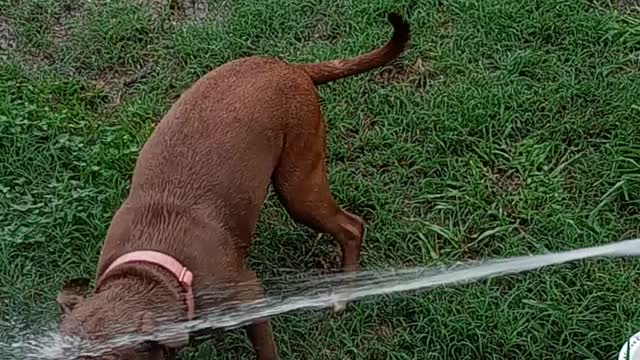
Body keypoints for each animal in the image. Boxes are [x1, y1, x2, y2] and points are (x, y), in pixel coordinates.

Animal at [57, 13, 410, 360]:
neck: (152, 271)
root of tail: (290, 68)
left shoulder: (248, 296)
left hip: (298, 186)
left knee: (351, 226)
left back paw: (344, 294)